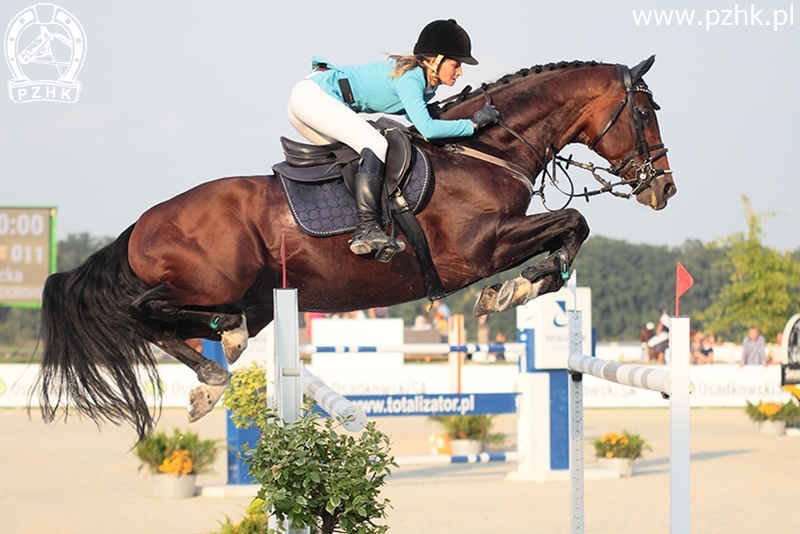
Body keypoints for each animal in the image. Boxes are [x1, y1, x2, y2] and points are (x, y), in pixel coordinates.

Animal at [36, 57, 676, 444]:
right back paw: (217, 361)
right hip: (210, 281)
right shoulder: (479, 249)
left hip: (258, 298)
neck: (486, 148)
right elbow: (573, 220)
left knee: (198, 323)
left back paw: (217, 366)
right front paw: (512, 289)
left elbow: (571, 230)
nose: (664, 189)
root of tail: (139, 225)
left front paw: (523, 286)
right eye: (646, 112)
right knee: (143, 311)